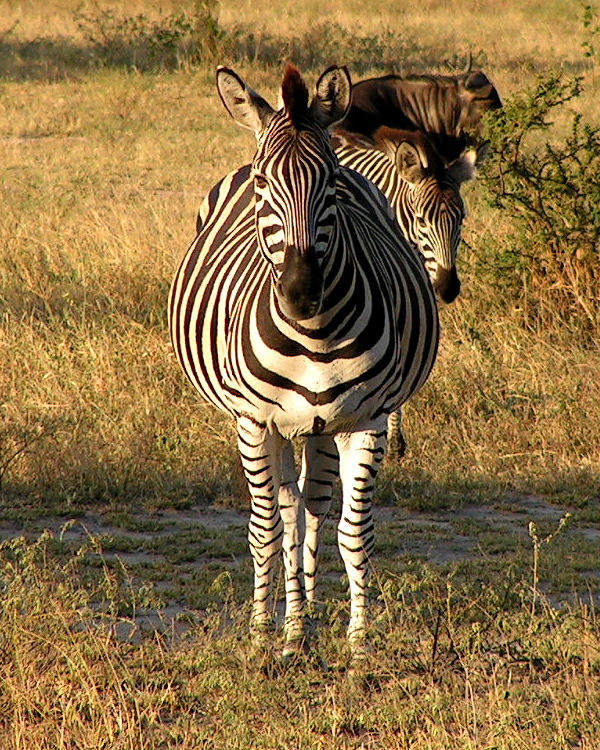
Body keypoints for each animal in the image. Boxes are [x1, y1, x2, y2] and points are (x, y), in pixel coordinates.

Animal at [170, 66, 440, 664]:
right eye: (263, 187)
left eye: (332, 185)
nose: (300, 295)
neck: (314, 338)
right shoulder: (254, 421)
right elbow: (266, 528)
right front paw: (262, 633)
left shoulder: (366, 420)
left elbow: (352, 532)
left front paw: (358, 647)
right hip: (269, 424)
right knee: (288, 511)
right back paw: (289, 626)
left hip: (319, 426)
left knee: (311, 505)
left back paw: (307, 616)